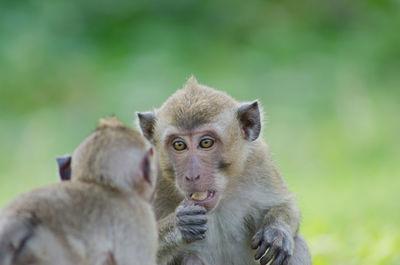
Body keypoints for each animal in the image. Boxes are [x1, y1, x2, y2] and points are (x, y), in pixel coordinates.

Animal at [138, 76, 312, 264]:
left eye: (206, 142)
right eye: (179, 145)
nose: (192, 175)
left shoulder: (260, 160)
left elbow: (285, 203)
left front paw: (276, 231)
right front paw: (180, 225)